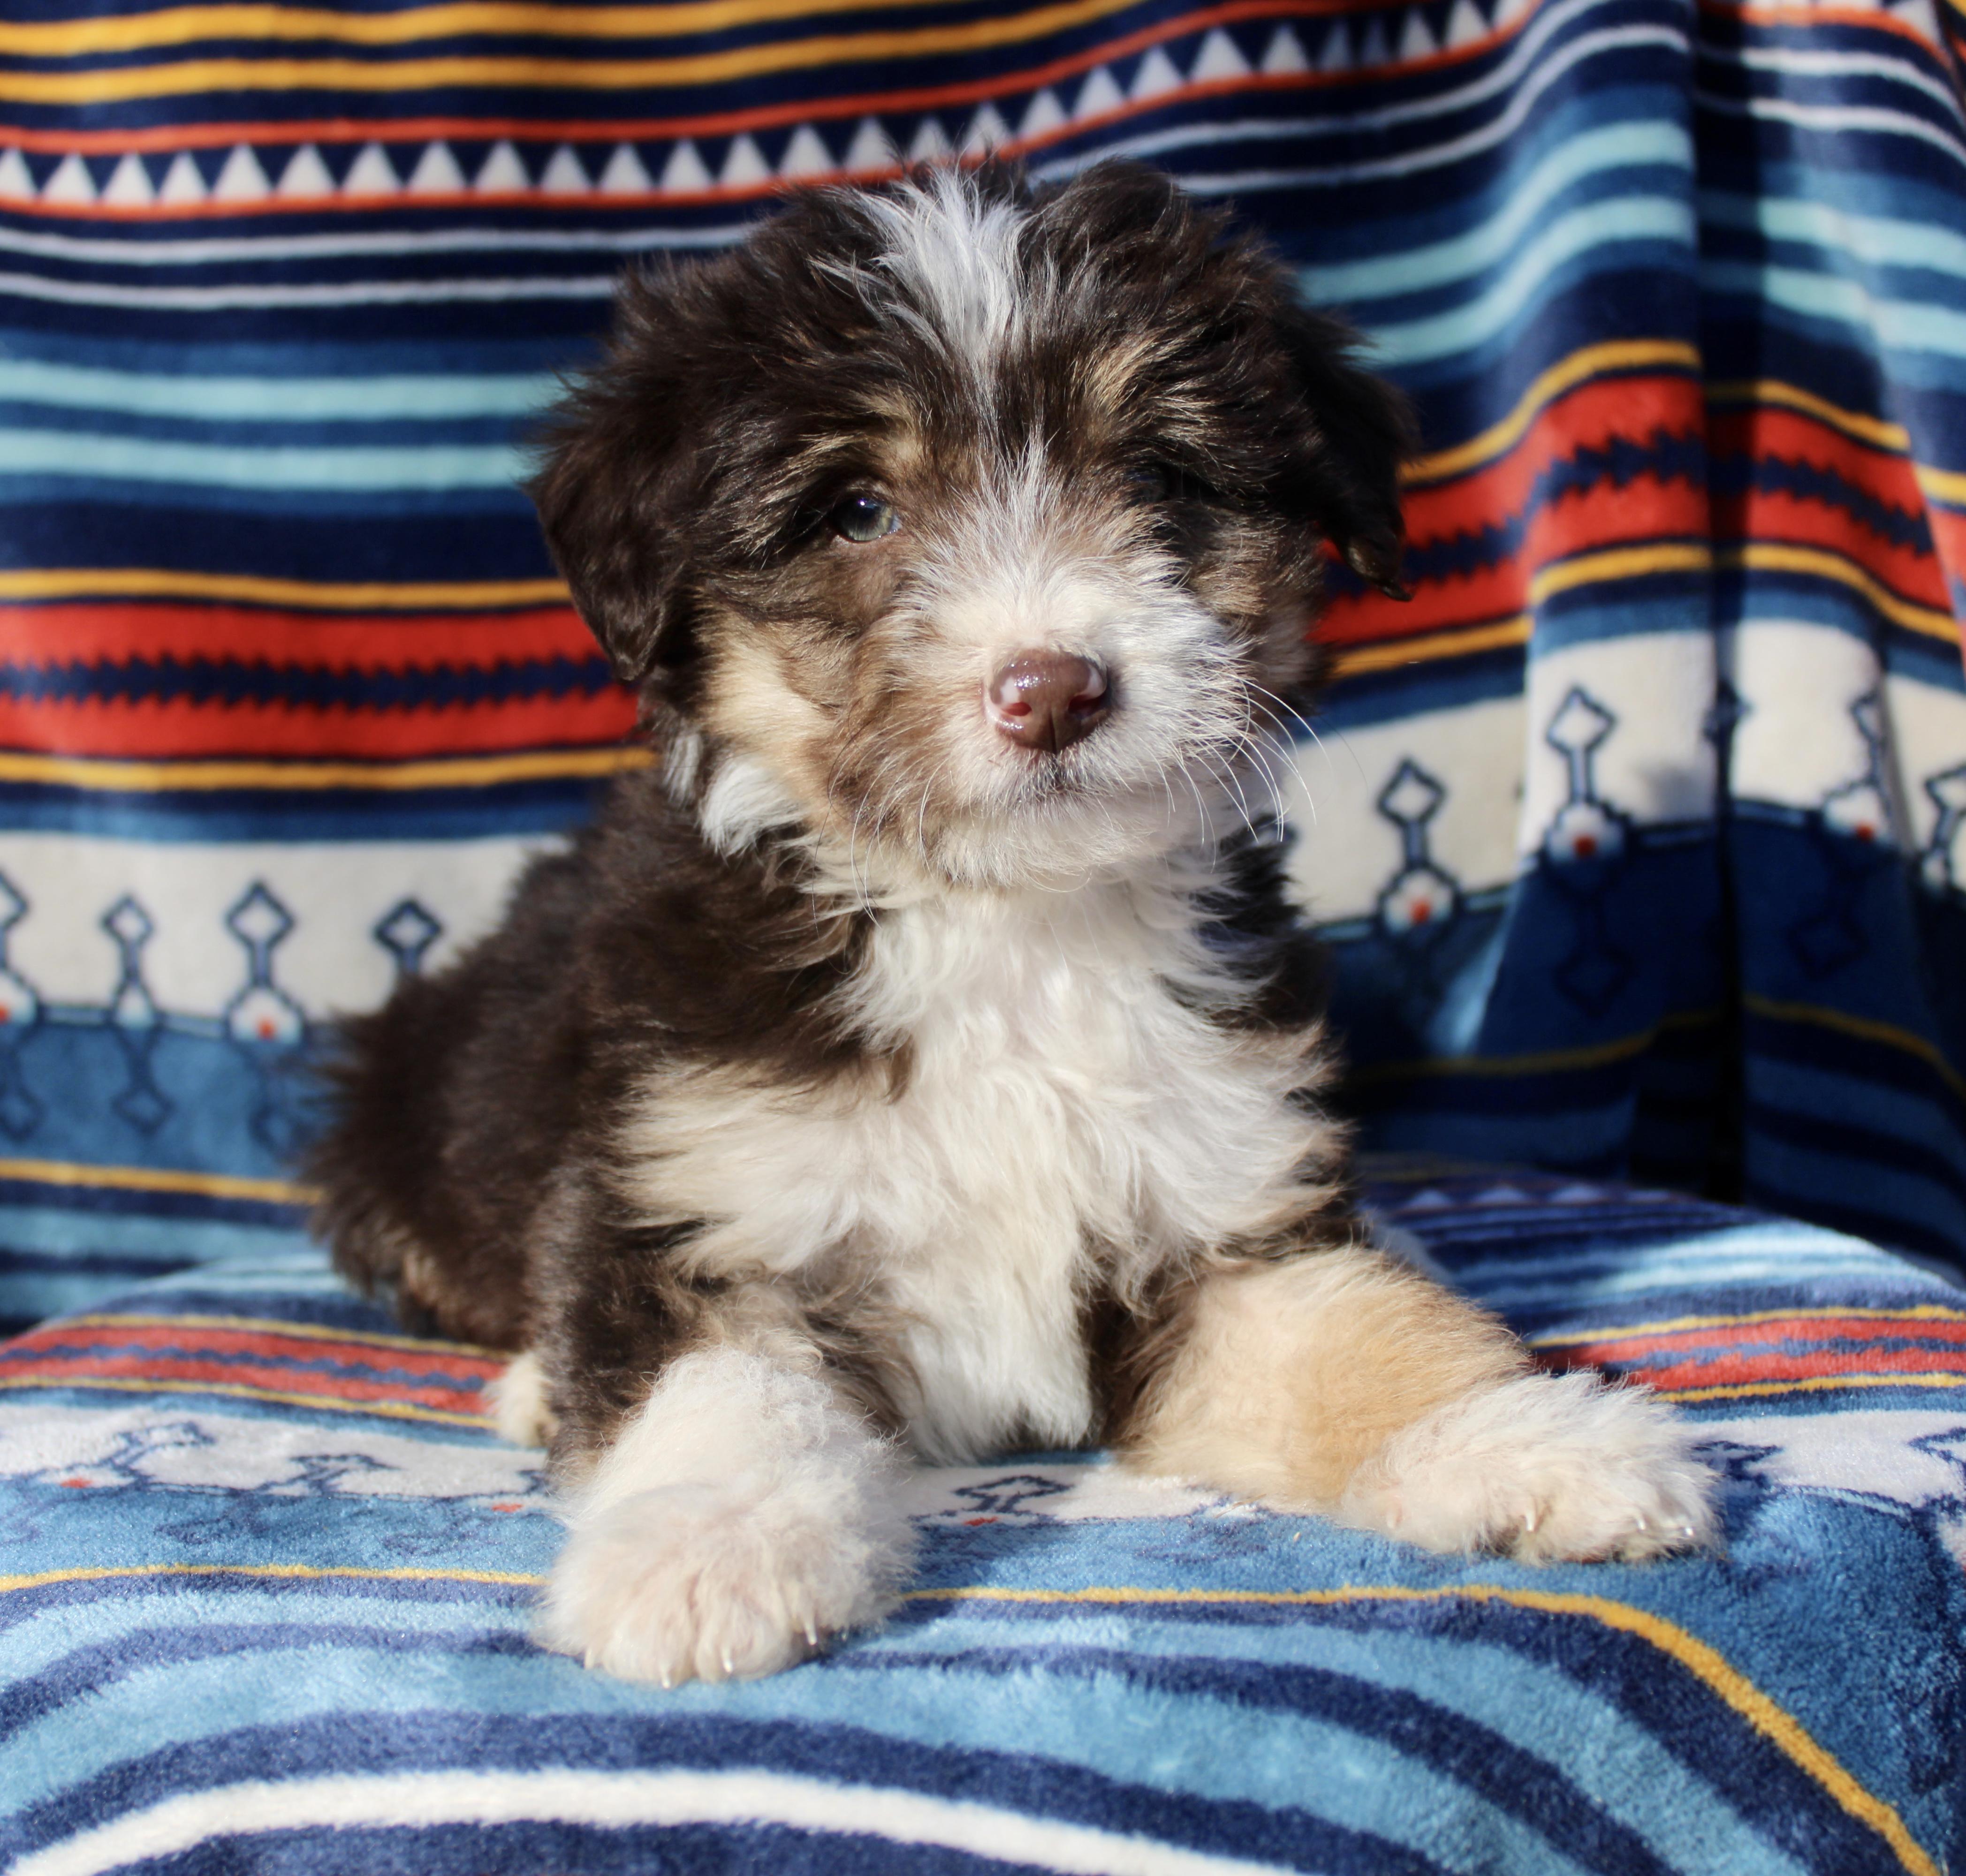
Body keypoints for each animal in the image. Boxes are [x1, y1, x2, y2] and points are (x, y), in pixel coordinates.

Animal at [309, 160, 1716, 1686]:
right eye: (856, 509)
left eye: (1156, 476)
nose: (1052, 689)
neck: (1005, 927)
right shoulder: (694, 1189)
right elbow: (722, 1381)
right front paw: (703, 1551)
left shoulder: (1209, 1218)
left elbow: (1348, 1335)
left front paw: (1522, 1438)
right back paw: (529, 1384)